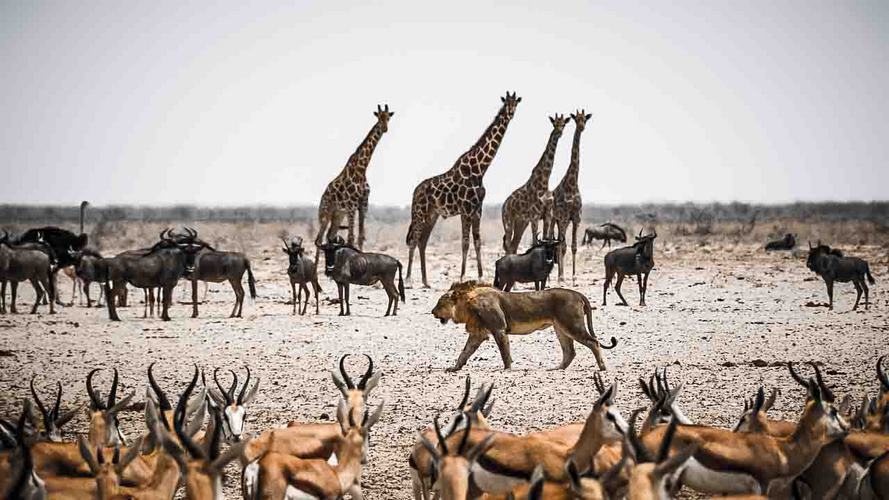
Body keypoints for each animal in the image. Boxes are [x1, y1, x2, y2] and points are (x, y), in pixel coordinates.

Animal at [314, 104, 394, 252]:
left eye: (388, 117)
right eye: (379, 117)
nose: (385, 128)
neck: (362, 169)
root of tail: (323, 197)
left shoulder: (363, 204)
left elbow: (360, 237)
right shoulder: (351, 205)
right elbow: (351, 238)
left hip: (338, 215)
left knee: (329, 236)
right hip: (325, 213)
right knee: (319, 239)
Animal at [408, 92, 524, 288]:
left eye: (516, 104)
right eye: (506, 104)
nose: (510, 113)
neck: (480, 169)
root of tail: (415, 192)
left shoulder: (477, 209)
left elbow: (477, 242)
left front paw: (481, 277)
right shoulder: (465, 209)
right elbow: (465, 242)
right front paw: (462, 277)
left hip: (432, 215)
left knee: (422, 241)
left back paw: (425, 281)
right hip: (419, 212)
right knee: (414, 240)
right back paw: (409, 280)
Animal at [432, 282, 616, 372]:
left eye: (439, 303)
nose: (432, 312)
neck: (467, 305)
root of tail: (578, 294)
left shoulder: (499, 329)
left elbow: (504, 352)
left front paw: (507, 369)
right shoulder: (478, 334)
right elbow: (464, 352)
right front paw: (454, 368)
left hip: (572, 325)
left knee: (594, 342)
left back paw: (602, 367)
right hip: (561, 329)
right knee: (570, 351)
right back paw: (557, 368)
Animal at [500, 113, 568, 254]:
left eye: (564, 124)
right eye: (554, 123)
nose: (559, 132)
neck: (544, 182)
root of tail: (504, 205)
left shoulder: (547, 215)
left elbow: (546, 239)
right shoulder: (535, 216)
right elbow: (535, 242)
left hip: (521, 223)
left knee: (513, 246)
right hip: (508, 221)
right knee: (508, 245)